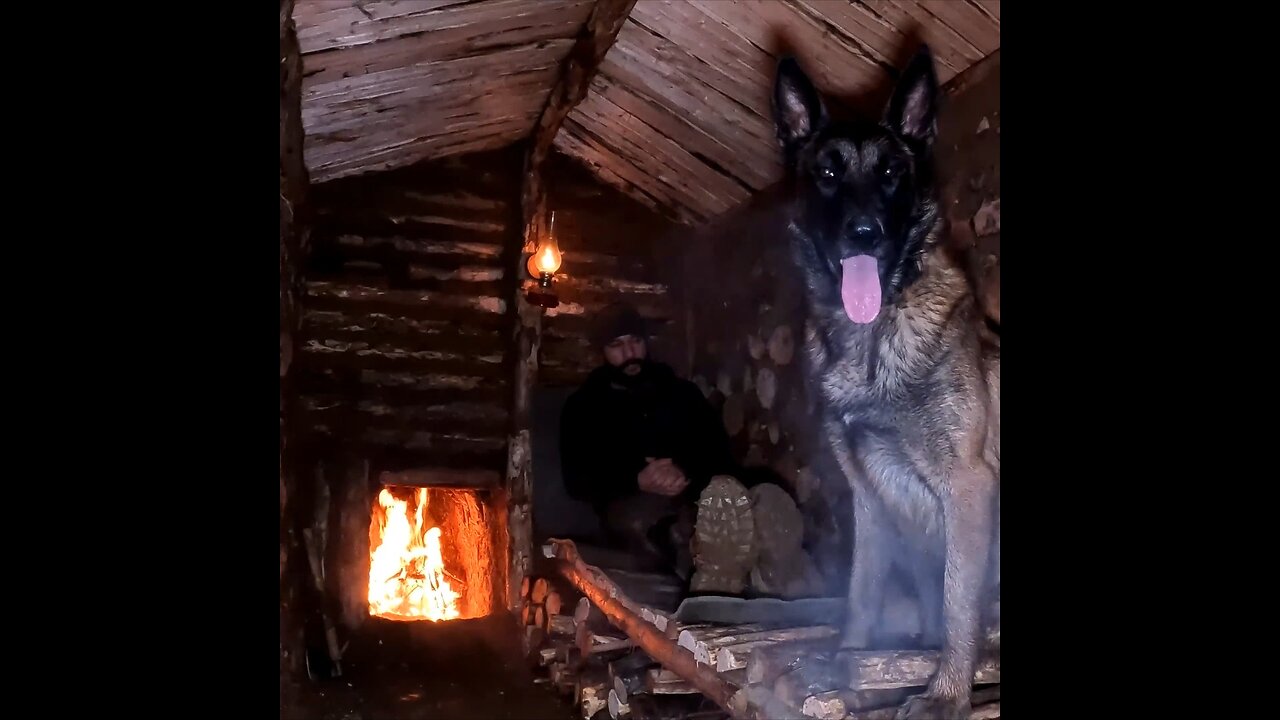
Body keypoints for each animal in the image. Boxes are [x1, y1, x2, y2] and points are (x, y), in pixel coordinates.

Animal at [768, 46, 998, 717]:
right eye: (827, 171)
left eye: (893, 170)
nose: (864, 232)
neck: (874, 339)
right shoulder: (867, 495)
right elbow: (862, 591)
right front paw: (849, 661)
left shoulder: (969, 484)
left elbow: (958, 604)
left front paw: (948, 694)